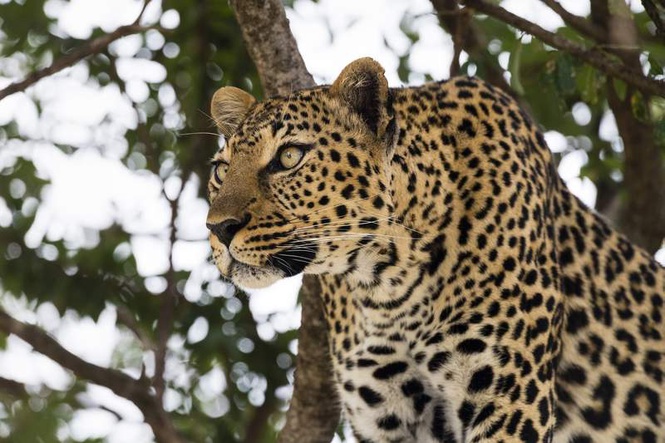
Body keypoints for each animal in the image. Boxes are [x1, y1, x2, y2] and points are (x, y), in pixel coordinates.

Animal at [205, 57, 665, 442]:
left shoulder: (511, 396)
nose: (219, 228)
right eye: (221, 170)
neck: (386, 283)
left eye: (289, 156)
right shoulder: (387, 416)